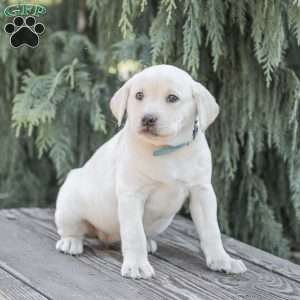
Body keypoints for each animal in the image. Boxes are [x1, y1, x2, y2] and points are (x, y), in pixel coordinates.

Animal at [55, 65, 247, 278]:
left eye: (172, 98)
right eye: (139, 95)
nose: (147, 118)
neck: (166, 149)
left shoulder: (202, 192)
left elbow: (211, 230)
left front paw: (223, 260)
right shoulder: (132, 194)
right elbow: (134, 233)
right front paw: (137, 265)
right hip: (69, 203)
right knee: (72, 229)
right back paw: (70, 242)